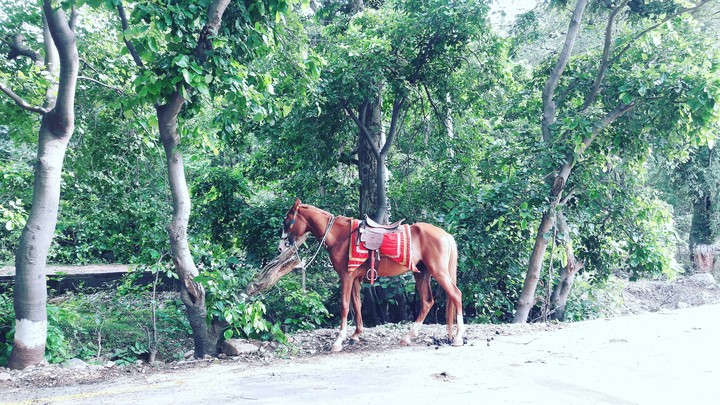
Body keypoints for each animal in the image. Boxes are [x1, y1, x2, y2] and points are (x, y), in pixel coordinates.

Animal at [247, 199, 465, 352]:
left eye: (287, 221)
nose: (280, 247)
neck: (339, 236)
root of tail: (446, 235)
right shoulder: (356, 279)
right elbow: (357, 304)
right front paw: (356, 335)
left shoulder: (346, 276)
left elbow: (344, 306)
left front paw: (338, 341)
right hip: (422, 274)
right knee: (427, 302)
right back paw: (409, 336)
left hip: (439, 271)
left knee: (456, 295)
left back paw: (457, 338)